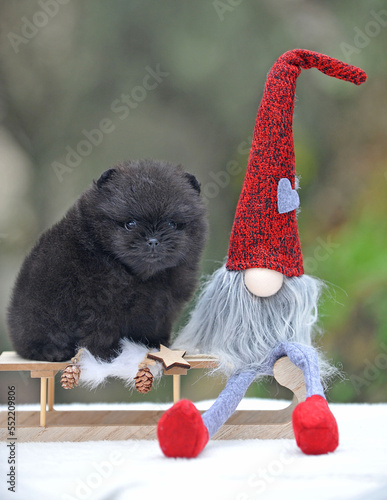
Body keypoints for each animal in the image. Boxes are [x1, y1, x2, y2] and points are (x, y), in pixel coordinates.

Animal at [7, 160, 208, 360]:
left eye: (172, 224)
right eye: (130, 224)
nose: (153, 240)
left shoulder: (162, 306)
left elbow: (154, 325)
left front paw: (158, 345)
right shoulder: (98, 306)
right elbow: (102, 331)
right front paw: (107, 354)